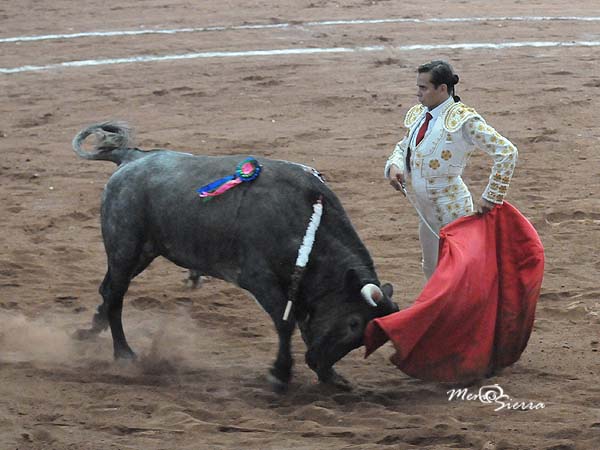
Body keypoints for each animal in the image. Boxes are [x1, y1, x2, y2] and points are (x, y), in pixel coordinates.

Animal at [72, 122, 398, 391]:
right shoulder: (259, 279)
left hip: (144, 252)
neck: (307, 220)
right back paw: (123, 353)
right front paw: (280, 374)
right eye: (353, 323)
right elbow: (286, 324)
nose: (317, 362)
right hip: (125, 246)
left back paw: (89, 332)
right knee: (116, 294)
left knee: (108, 289)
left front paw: (331, 377)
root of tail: (132, 158)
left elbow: (305, 325)